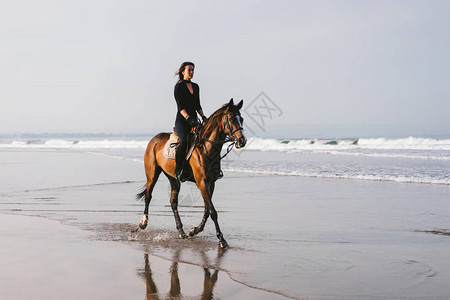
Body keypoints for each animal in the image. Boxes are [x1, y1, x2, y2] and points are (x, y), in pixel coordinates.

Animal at [138, 99, 246, 248]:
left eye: (241, 119)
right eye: (231, 119)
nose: (242, 141)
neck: (206, 148)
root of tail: (154, 139)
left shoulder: (211, 183)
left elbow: (207, 210)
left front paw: (194, 231)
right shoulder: (202, 183)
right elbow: (213, 212)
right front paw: (221, 239)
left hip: (173, 178)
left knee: (173, 202)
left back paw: (181, 232)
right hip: (152, 174)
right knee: (148, 196)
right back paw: (143, 223)